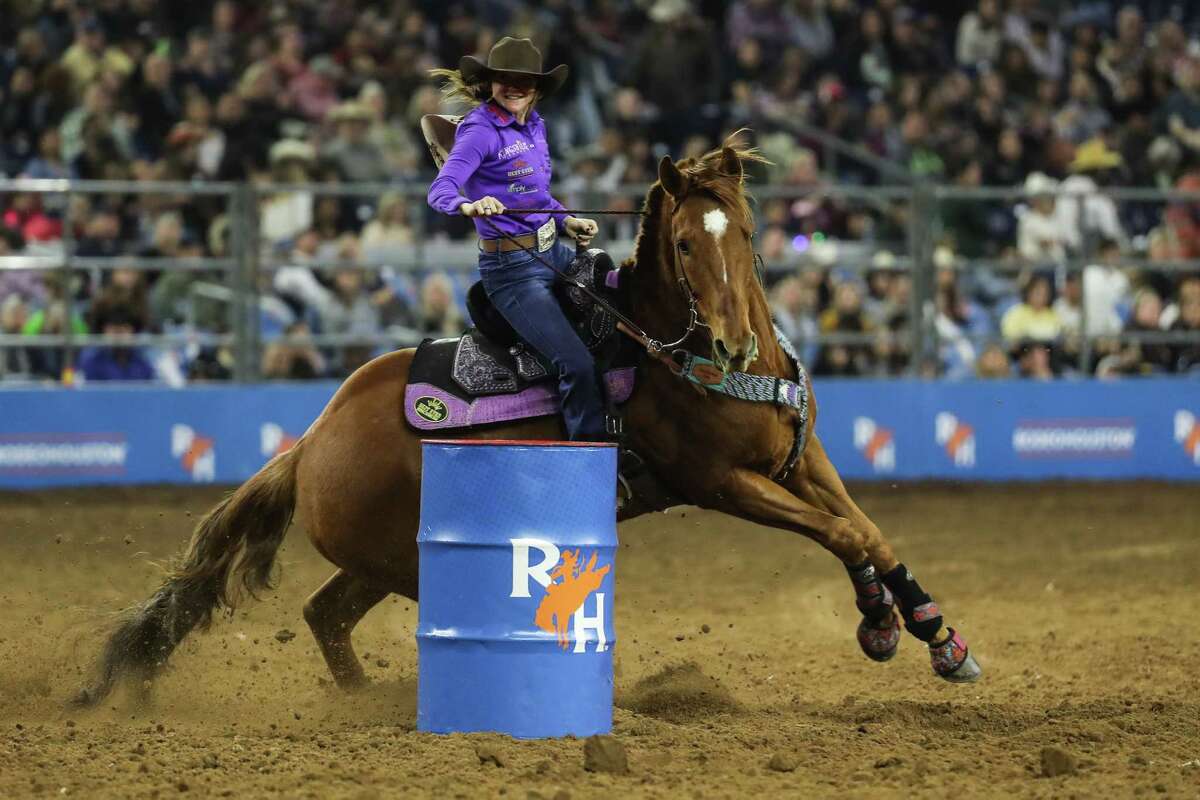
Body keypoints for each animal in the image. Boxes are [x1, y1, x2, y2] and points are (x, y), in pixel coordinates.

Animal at [72, 142, 974, 705]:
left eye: (746, 233)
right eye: (683, 244)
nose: (729, 341)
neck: (672, 354)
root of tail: (308, 446)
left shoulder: (801, 458)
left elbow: (865, 532)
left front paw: (932, 633)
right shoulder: (723, 483)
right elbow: (844, 533)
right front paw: (882, 626)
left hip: (377, 561)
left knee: (325, 616)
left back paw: (365, 703)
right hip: (405, 558)